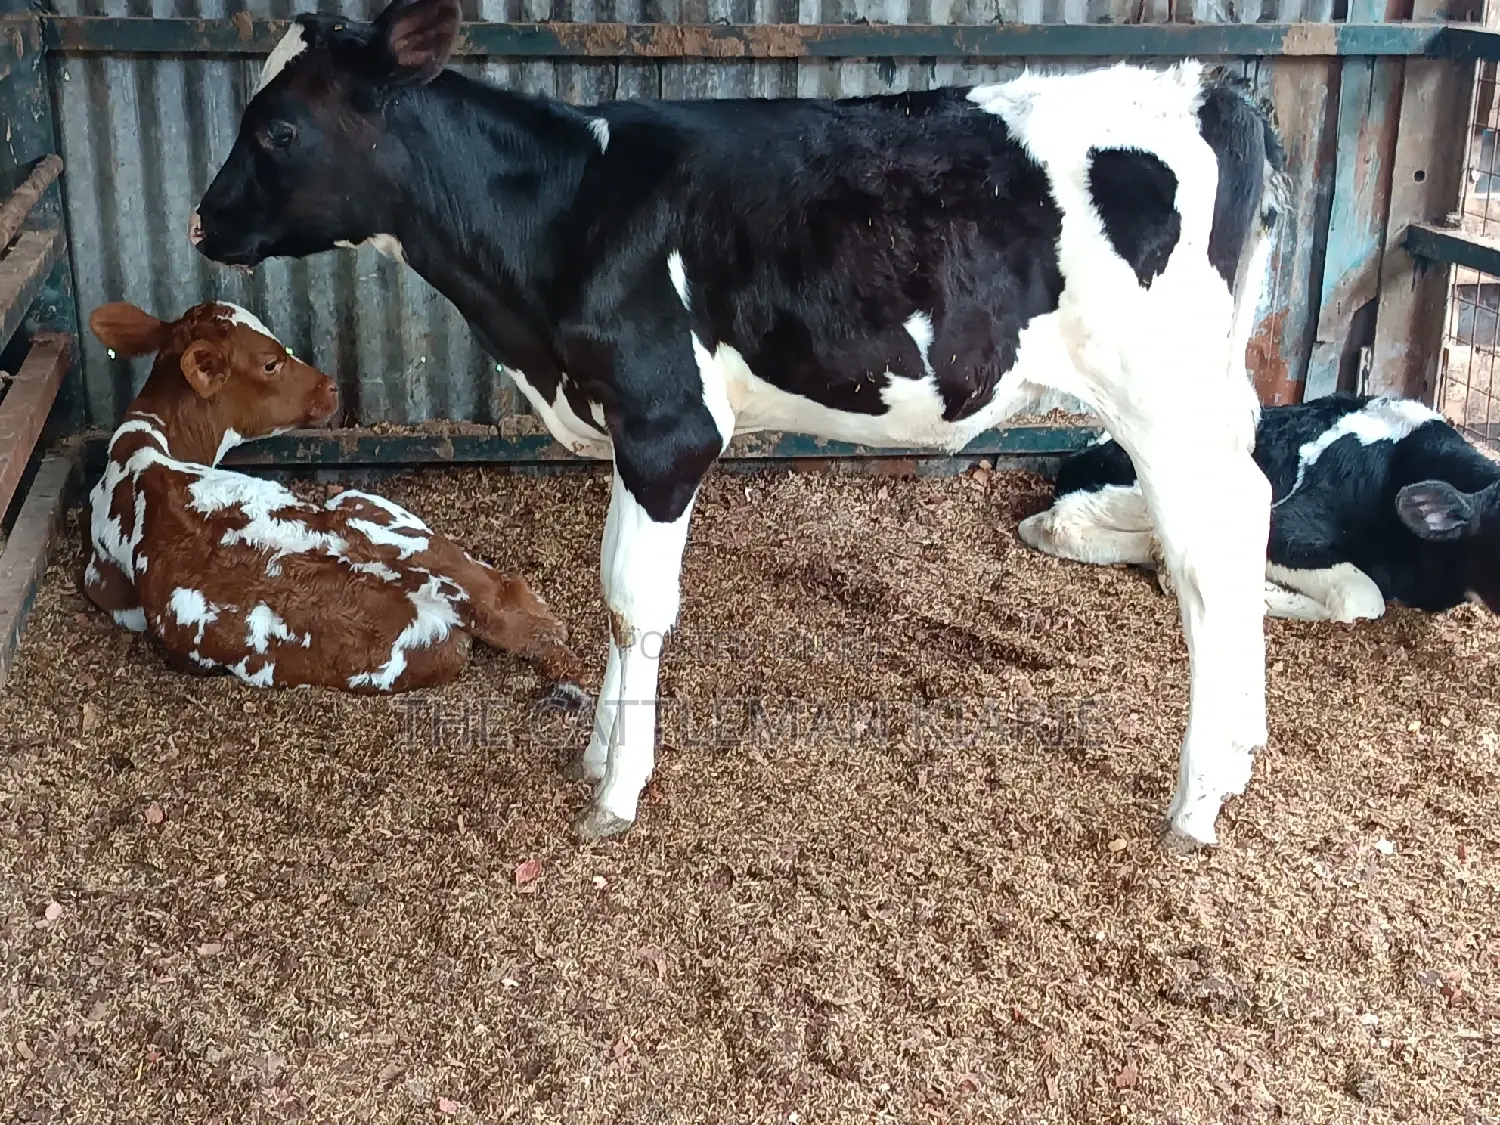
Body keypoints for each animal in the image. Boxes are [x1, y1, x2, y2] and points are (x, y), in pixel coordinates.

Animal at [189, 0, 1289, 848]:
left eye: (277, 129)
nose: (202, 223)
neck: (564, 220)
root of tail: (1210, 89)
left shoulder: (671, 426)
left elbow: (637, 604)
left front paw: (619, 790)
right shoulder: (629, 429)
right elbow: (610, 589)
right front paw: (598, 751)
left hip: (1163, 397)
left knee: (1208, 559)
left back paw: (1196, 801)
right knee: (1251, 515)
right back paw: (1240, 755)